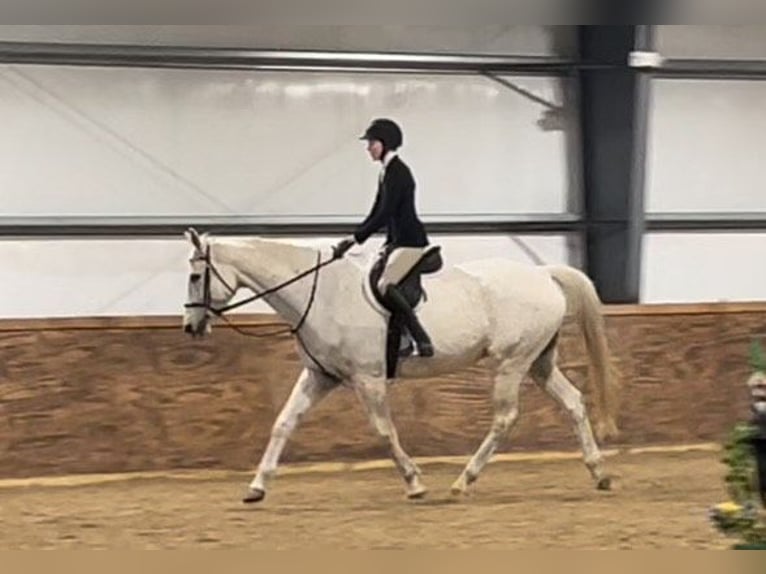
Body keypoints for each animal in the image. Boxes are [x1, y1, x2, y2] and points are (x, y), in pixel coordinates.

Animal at [183, 228, 620, 504]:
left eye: (194, 275)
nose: (190, 327)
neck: (322, 294)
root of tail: (543, 273)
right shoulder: (320, 377)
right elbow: (283, 423)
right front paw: (257, 487)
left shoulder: (368, 379)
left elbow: (383, 430)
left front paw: (414, 484)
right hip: (537, 362)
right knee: (573, 402)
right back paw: (599, 473)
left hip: (512, 362)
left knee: (505, 418)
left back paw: (463, 482)